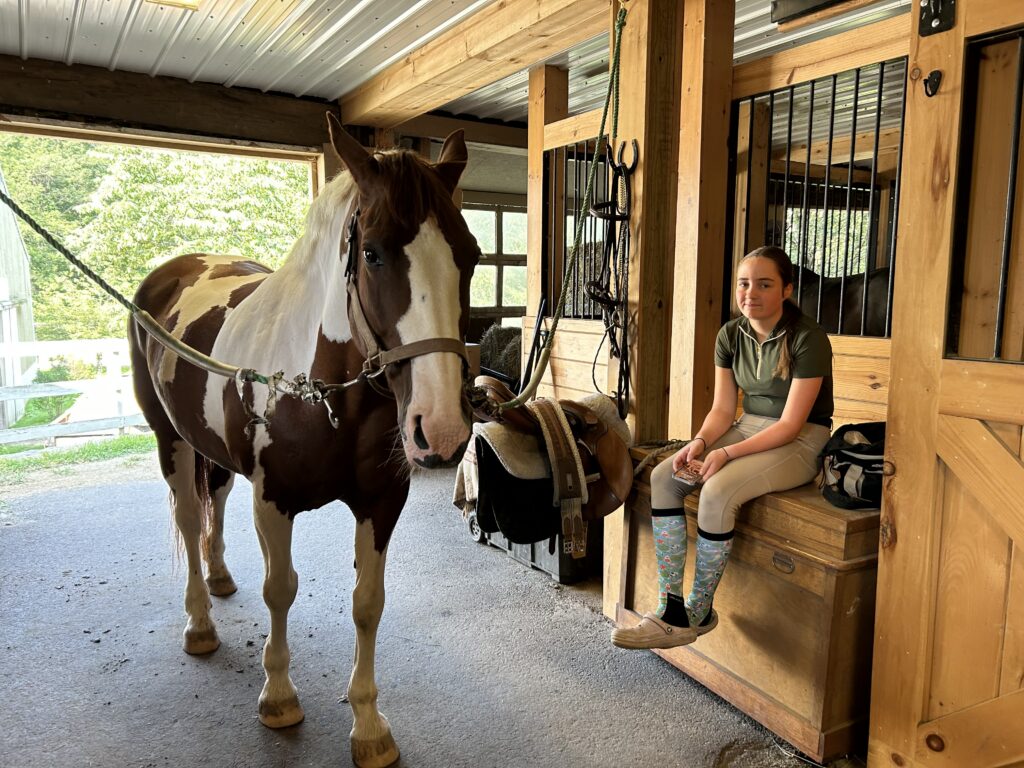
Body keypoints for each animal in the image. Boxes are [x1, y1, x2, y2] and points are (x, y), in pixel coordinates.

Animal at [128, 113, 480, 768]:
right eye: (372, 253)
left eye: (468, 257)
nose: (442, 428)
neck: (323, 392)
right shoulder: (275, 502)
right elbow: (280, 590)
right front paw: (279, 697)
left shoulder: (380, 505)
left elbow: (368, 602)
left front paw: (368, 726)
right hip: (171, 439)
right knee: (189, 518)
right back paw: (200, 624)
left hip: (214, 452)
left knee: (214, 500)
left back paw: (219, 578)